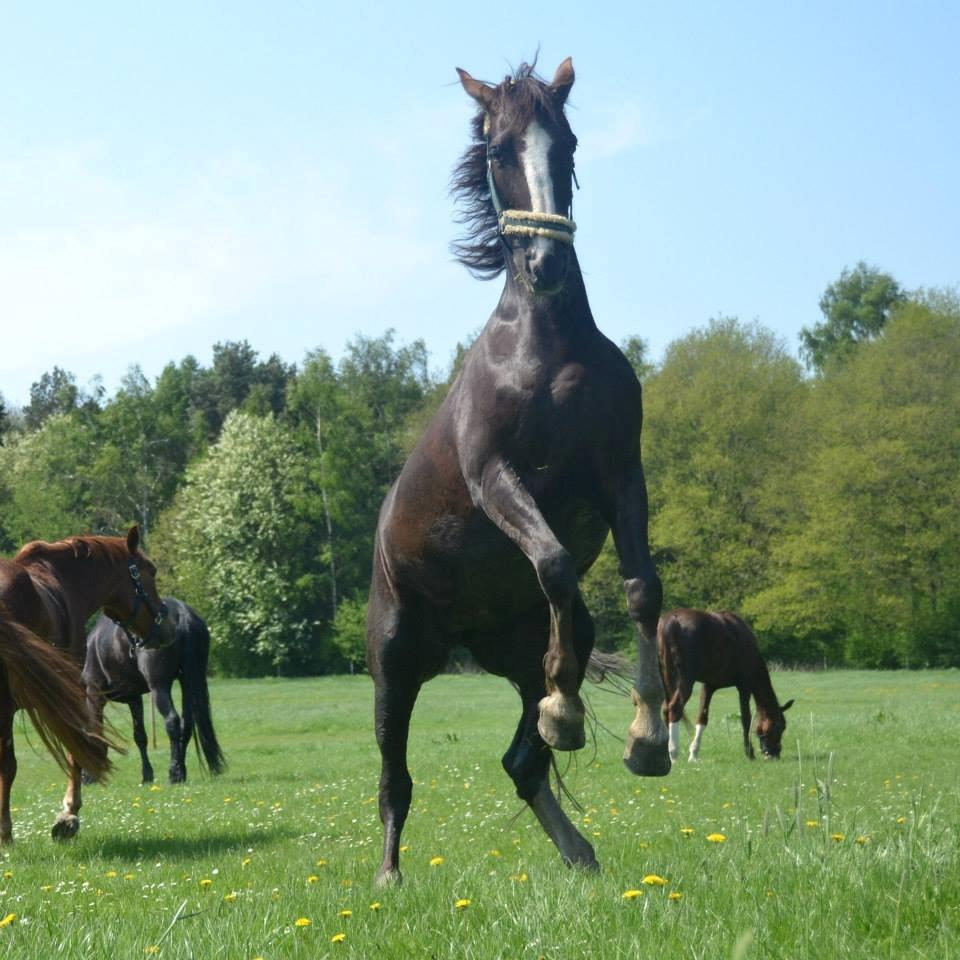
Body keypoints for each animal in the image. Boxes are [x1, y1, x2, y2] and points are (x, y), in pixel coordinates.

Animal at [83, 596, 225, 784]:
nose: (84, 778)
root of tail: (183, 614)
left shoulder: (94, 694)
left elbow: (95, 731)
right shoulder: (134, 698)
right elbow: (140, 736)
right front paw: (147, 774)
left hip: (160, 687)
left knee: (173, 721)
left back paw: (175, 773)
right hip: (187, 683)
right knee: (186, 724)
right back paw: (181, 770)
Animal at [366, 58, 668, 884]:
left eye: (566, 143)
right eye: (499, 149)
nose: (546, 262)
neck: (550, 350)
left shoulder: (621, 475)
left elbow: (641, 587)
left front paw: (648, 738)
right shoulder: (496, 476)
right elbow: (557, 560)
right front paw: (570, 712)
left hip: (511, 652)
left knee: (521, 763)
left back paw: (581, 852)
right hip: (395, 660)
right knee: (395, 776)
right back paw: (389, 874)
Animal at [660, 612, 796, 760]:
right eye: (780, 727)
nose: (774, 753)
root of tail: (671, 621)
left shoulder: (709, 686)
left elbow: (702, 717)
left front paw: (694, 754)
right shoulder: (744, 686)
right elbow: (746, 718)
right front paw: (749, 752)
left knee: (665, 709)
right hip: (685, 681)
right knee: (675, 708)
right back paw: (673, 753)